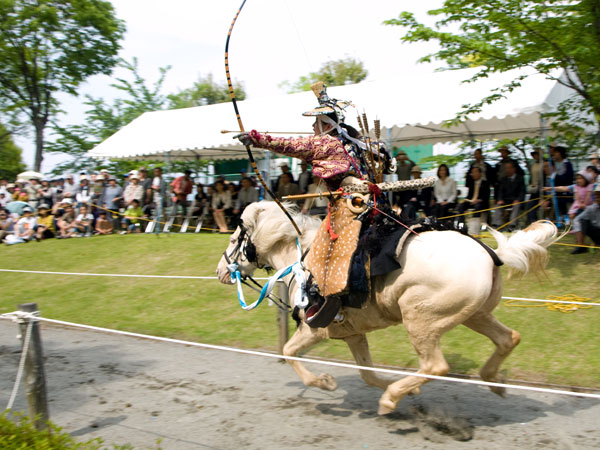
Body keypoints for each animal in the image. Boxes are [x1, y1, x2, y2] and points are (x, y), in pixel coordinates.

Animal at [217, 202, 564, 414]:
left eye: (234, 239)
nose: (221, 270)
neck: (305, 260)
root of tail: (492, 254)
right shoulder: (352, 334)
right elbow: (368, 373)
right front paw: (405, 392)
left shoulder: (314, 329)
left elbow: (289, 352)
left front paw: (325, 383)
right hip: (475, 315)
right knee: (509, 338)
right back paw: (493, 381)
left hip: (420, 319)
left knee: (436, 366)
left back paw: (391, 399)